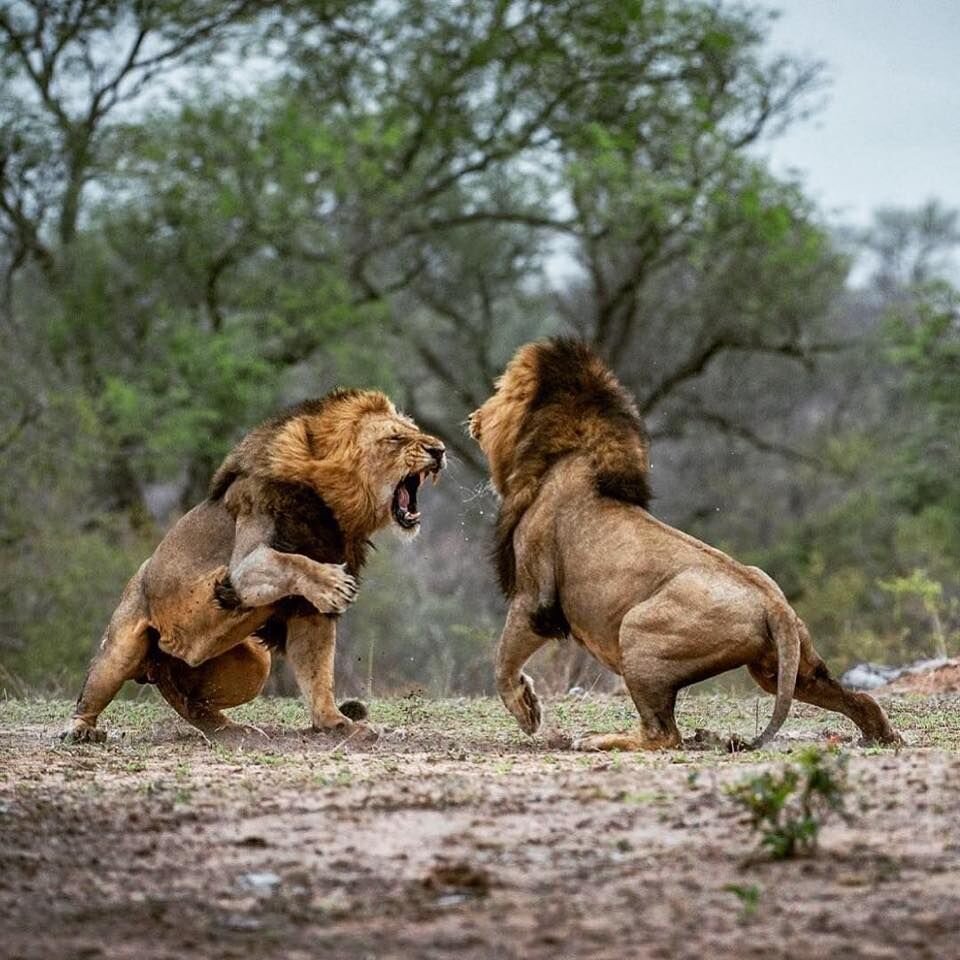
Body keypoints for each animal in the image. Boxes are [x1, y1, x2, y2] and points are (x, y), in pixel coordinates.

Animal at [63, 390, 446, 744]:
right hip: (120, 648)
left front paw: (336, 724)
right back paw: (81, 730)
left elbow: (317, 673)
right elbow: (289, 562)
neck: (337, 512)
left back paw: (231, 730)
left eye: (416, 432)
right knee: (94, 692)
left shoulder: (306, 612)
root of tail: (161, 665)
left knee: (194, 703)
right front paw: (332, 583)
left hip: (255, 664)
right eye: (395, 439)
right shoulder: (243, 566)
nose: (440, 450)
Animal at [468, 338, 904, 752]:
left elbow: (503, 662)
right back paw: (880, 736)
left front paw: (527, 713)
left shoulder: (534, 598)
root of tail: (774, 604)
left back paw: (598, 740)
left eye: (498, 392)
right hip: (787, 670)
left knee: (663, 735)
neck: (568, 453)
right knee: (860, 699)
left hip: (637, 632)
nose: (472, 418)